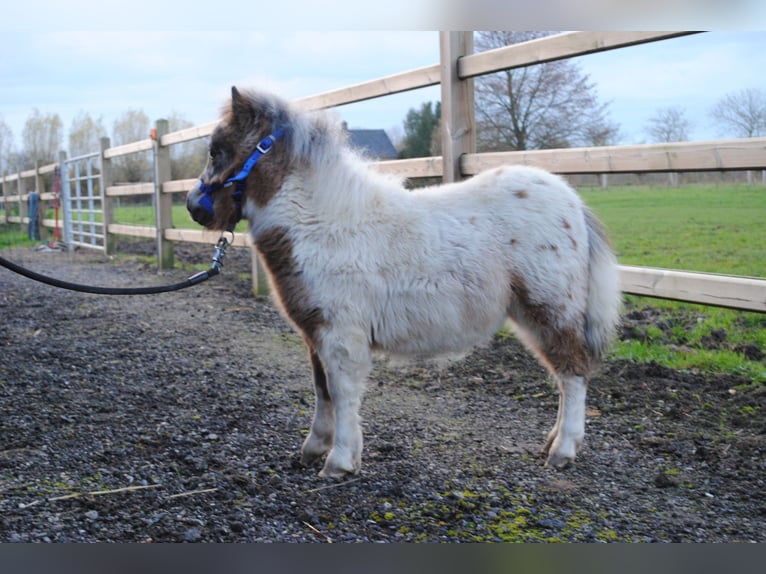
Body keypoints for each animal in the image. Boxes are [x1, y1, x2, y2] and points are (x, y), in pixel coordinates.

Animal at [188, 86, 624, 482]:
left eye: (218, 149)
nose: (194, 207)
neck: (320, 224)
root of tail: (572, 201)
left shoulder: (341, 334)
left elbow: (342, 393)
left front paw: (339, 461)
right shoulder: (315, 333)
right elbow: (322, 390)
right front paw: (313, 450)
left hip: (550, 308)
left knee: (573, 372)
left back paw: (563, 451)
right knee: (565, 376)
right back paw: (552, 442)